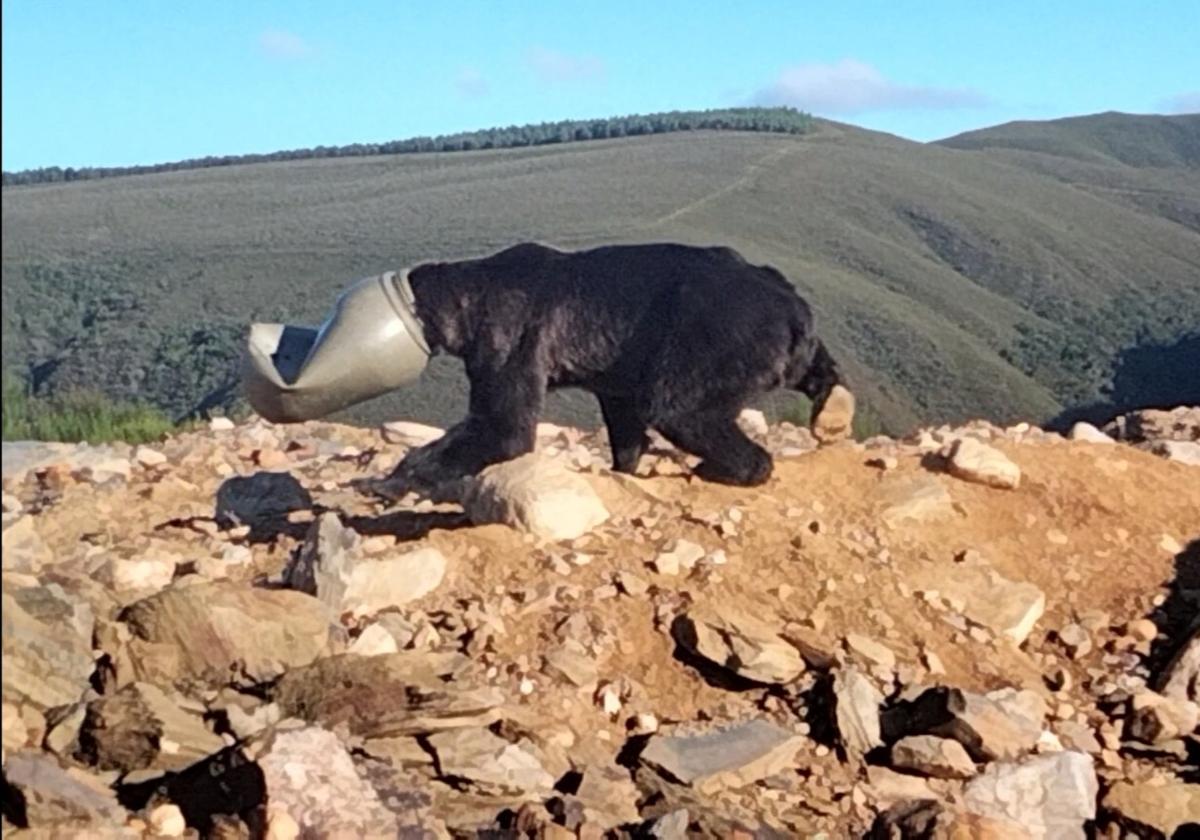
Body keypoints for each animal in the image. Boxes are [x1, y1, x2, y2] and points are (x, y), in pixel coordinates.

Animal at [381, 241, 854, 492]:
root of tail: (791, 306)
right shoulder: (616, 376)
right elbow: (624, 425)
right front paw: (621, 466)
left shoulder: (510, 338)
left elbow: (502, 427)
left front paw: (400, 475)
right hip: (774, 341)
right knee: (816, 369)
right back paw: (834, 410)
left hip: (715, 334)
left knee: (683, 409)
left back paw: (727, 466)